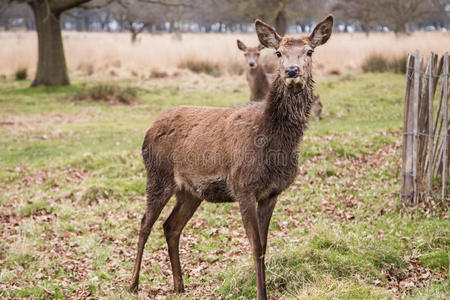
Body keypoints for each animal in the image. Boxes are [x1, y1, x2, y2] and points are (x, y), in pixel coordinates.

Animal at [129, 15, 334, 298]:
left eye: (310, 51)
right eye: (278, 52)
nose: (292, 71)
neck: (273, 143)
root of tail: (149, 130)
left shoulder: (272, 193)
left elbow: (265, 246)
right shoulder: (243, 186)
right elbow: (256, 247)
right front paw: (260, 294)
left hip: (190, 191)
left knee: (171, 226)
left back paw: (180, 286)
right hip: (158, 176)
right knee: (144, 223)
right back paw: (133, 283)